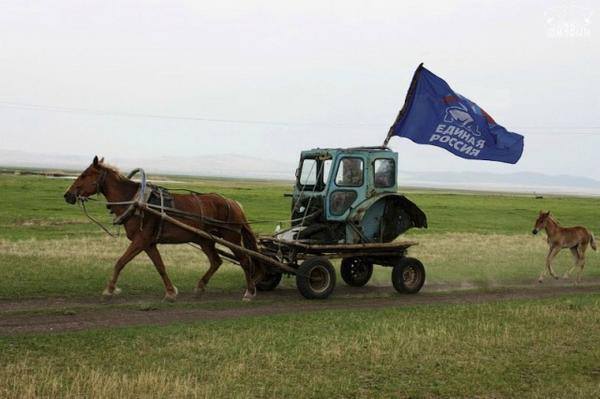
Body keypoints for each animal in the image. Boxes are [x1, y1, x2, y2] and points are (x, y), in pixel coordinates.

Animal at [63, 155, 264, 300]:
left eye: (84, 175)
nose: (67, 195)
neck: (136, 201)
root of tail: (233, 202)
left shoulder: (141, 240)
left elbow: (120, 262)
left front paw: (109, 290)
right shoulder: (149, 243)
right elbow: (160, 266)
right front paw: (170, 291)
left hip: (230, 237)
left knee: (245, 261)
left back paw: (249, 291)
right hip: (204, 239)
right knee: (216, 261)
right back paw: (200, 287)